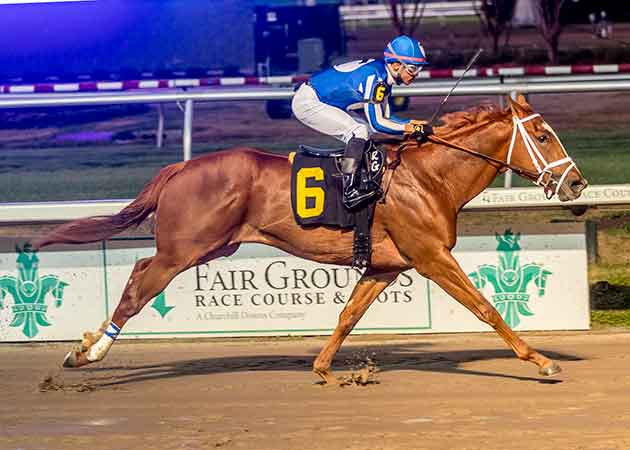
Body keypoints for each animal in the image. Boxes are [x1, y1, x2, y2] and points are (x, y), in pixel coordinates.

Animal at [33, 95, 588, 384]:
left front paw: (323, 367)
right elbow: (487, 308)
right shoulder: (432, 256)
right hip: (184, 248)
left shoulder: (387, 265)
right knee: (139, 283)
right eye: (542, 137)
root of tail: (180, 167)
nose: (577, 184)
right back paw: (88, 353)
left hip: (210, 246)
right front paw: (541, 361)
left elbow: (347, 316)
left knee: (137, 275)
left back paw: (87, 348)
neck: (428, 177)